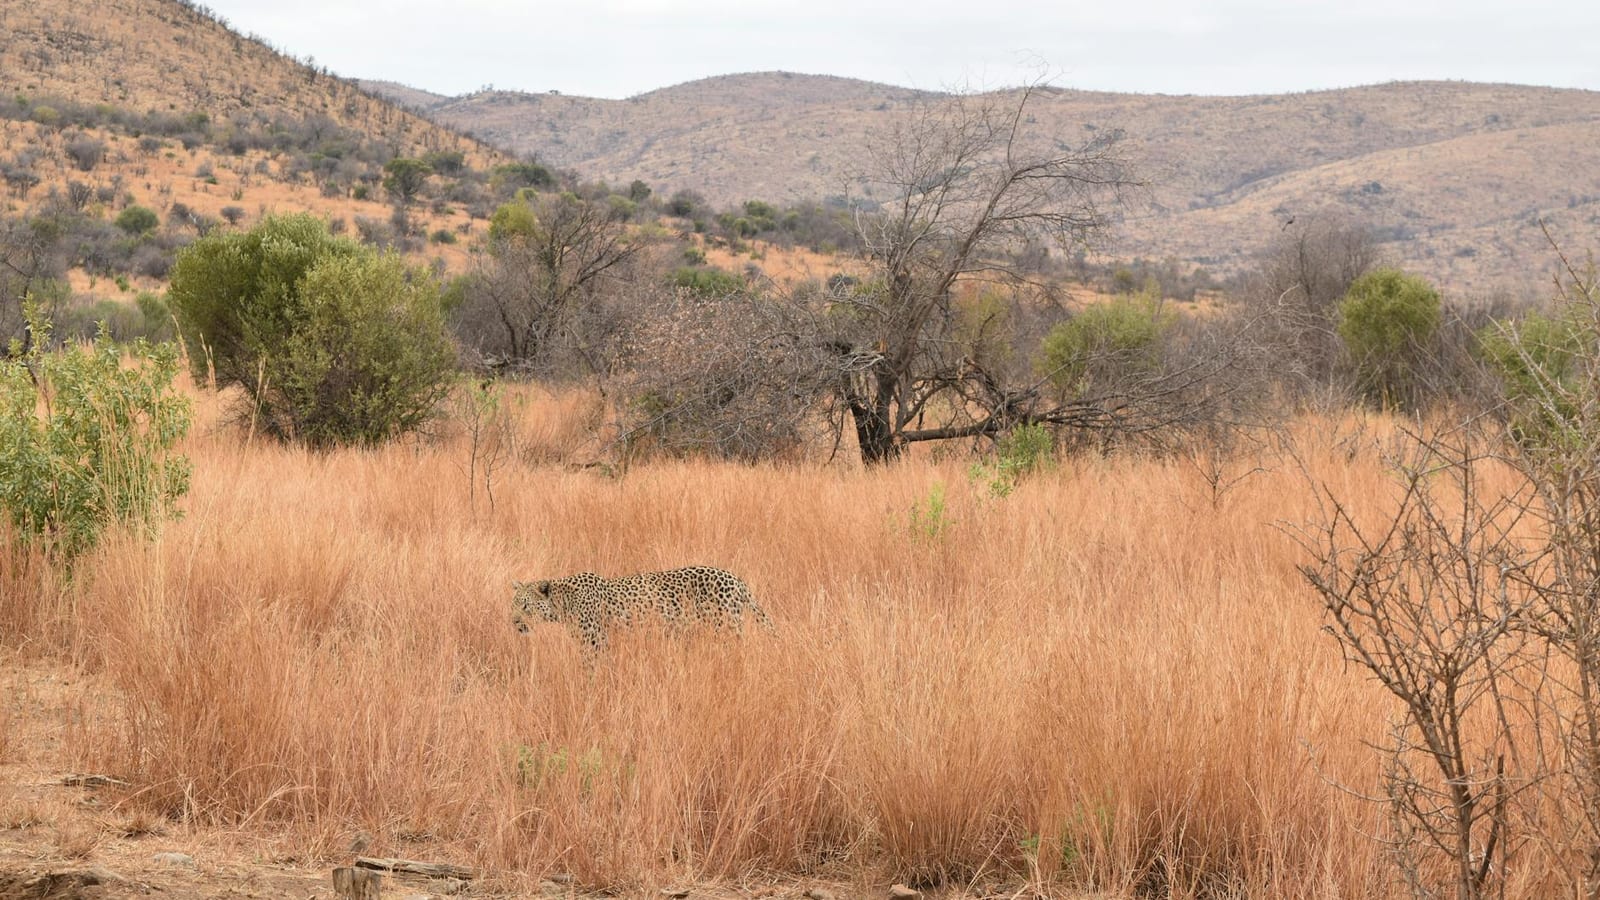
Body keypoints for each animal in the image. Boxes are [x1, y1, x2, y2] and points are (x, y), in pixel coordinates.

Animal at [512, 566, 773, 648]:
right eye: (513, 605)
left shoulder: (595, 641)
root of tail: (735, 579)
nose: (514, 622)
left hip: (726, 627)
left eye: (525, 606)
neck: (562, 603)